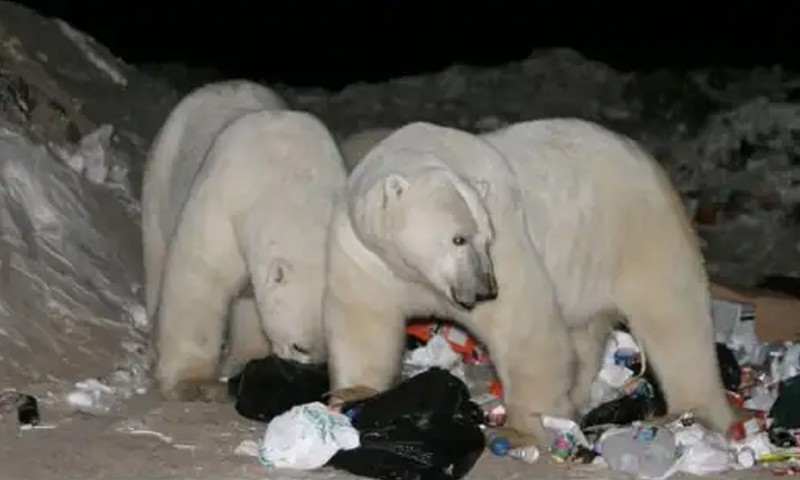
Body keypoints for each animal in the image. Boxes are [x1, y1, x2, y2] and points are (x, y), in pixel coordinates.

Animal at [144, 105, 344, 402]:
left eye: (330, 347)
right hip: (161, 176)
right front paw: (192, 384)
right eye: (300, 347)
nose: (313, 375)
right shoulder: (223, 205)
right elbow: (201, 281)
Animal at [322, 119, 736, 446]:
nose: (485, 290)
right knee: (585, 334)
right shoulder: (365, 255)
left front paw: (521, 430)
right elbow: (364, 326)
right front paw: (352, 396)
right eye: (458, 238)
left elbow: (522, 327)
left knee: (674, 318)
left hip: (638, 231)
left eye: (485, 238)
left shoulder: (507, 238)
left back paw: (695, 412)